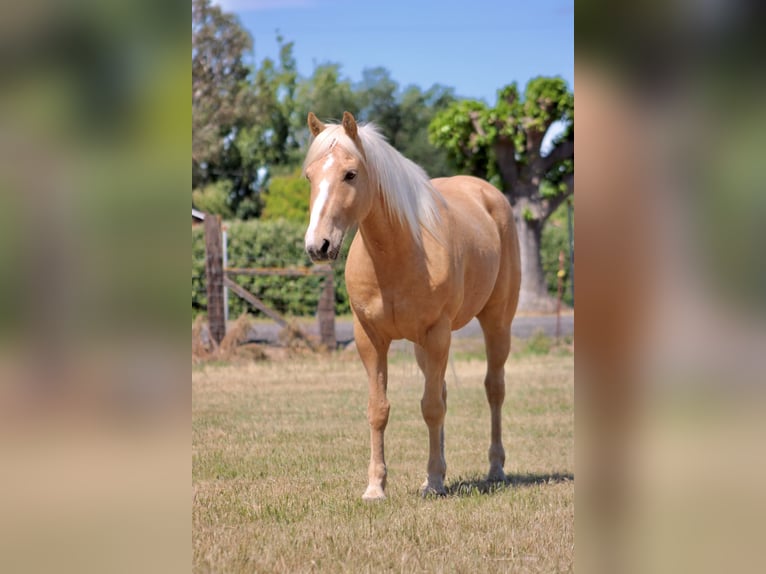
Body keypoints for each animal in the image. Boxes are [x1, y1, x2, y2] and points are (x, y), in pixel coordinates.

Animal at [303, 111, 521, 500]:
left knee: (494, 389)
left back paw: (495, 468)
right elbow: (380, 409)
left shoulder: (437, 334)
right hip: (425, 345)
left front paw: (433, 482)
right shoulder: (371, 339)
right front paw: (376, 486)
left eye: (350, 174)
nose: (318, 245)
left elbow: (431, 408)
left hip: (496, 323)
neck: (398, 252)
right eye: (309, 176)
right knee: (444, 391)